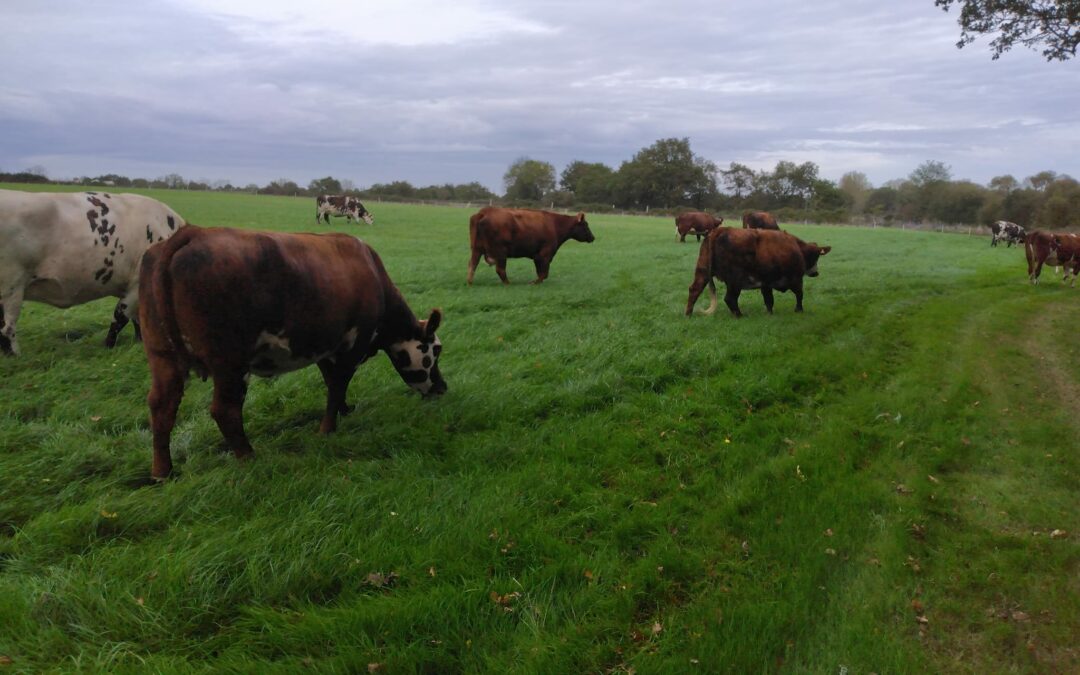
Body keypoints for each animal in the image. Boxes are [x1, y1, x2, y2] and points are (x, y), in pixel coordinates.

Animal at [0, 186, 184, 356]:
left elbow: (137, 319)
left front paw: (139, 342)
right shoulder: (136, 285)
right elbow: (120, 317)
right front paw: (108, 346)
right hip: (11, 287)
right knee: (6, 327)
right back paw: (15, 357)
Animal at [138, 226, 442, 479]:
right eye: (436, 350)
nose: (442, 387)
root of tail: (193, 232)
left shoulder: (324, 347)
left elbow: (333, 384)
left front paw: (344, 410)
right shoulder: (352, 346)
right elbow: (338, 385)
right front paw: (327, 429)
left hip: (162, 355)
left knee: (162, 407)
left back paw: (162, 472)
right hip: (229, 362)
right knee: (225, 410)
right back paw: (249, 457)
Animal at [466, 209, 596, 285]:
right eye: (585, 225)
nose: (593, 237)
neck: (555, 225)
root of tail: (484, 212)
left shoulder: (537, 256)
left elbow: (541, 272)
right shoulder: (545, 255)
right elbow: (544, 273)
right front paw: (534, 282)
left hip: (477, 249)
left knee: (472, 265)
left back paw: (470, 282)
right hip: (500, 252)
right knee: (500, 269)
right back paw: (508, 283)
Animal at [686, 227, 829, 317]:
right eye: (816, 256)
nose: (816, 273)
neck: (797, 248)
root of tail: (721, 230)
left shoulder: (766, 284)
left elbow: (769, 300)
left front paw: (769, 314)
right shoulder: (796, 279)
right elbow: (799, 295)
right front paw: (799, 310)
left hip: (703, 271)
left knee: (694, 290)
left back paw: (688, 314)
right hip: (734, 281)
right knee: (730, 298)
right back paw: (739, 315)